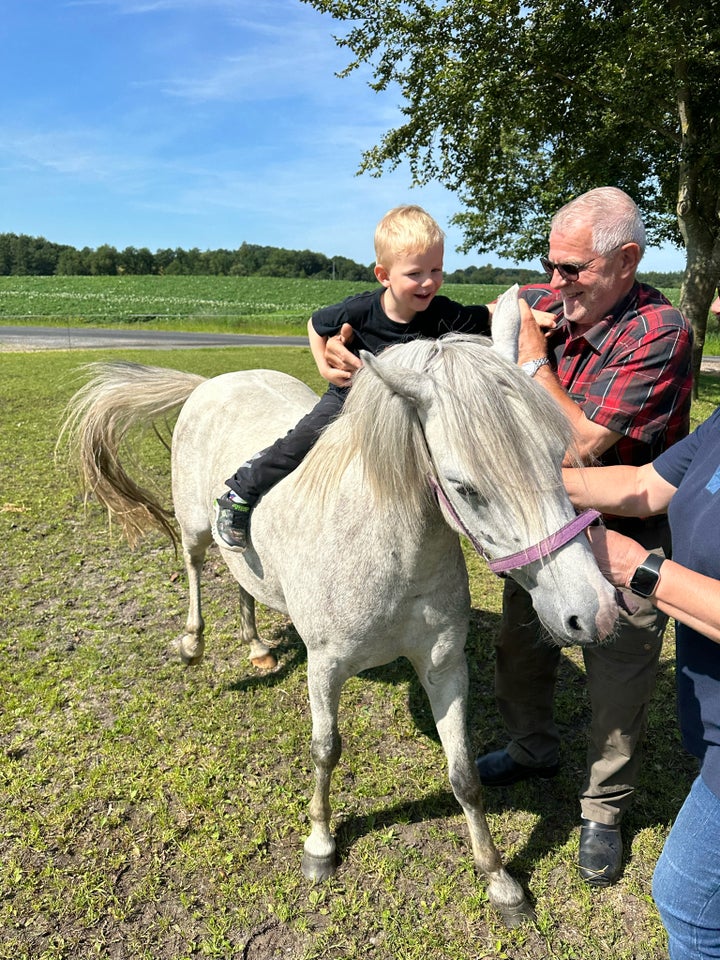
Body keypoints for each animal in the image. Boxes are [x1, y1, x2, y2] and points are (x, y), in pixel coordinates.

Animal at [59, 286, 616, 928]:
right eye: (465, 487)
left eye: (557, 456)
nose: (594, 611)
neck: (389, 548)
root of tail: (212, 382)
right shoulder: (325, 666)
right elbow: (325, 751)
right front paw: (320, 845)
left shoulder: (445, 665)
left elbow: (464, 775)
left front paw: (499, 879)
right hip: (195, 528)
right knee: (196, 568)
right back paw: (194, 644)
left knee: (244, 582)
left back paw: (256, 648)